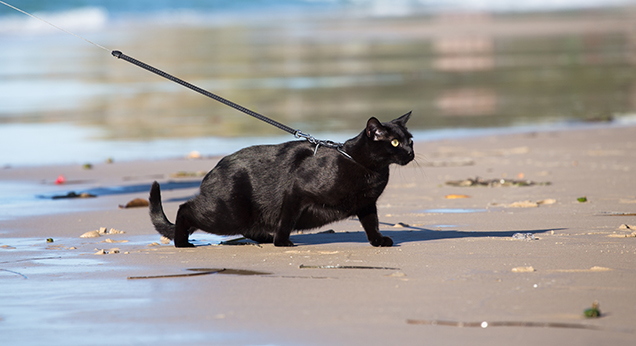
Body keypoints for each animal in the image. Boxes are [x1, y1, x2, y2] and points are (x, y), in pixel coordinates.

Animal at [151, 112, 414, 247]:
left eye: (410, 140)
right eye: (394, 142)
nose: (411, 153)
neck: (367, 168)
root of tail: (213, 170)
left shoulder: (367, 203)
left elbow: (372, 223)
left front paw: (378, 241)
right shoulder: (296, 191)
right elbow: (287, 219)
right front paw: (282, 242)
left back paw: (265, 238)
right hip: (227, 215)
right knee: (185, 209)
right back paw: (182, 242)